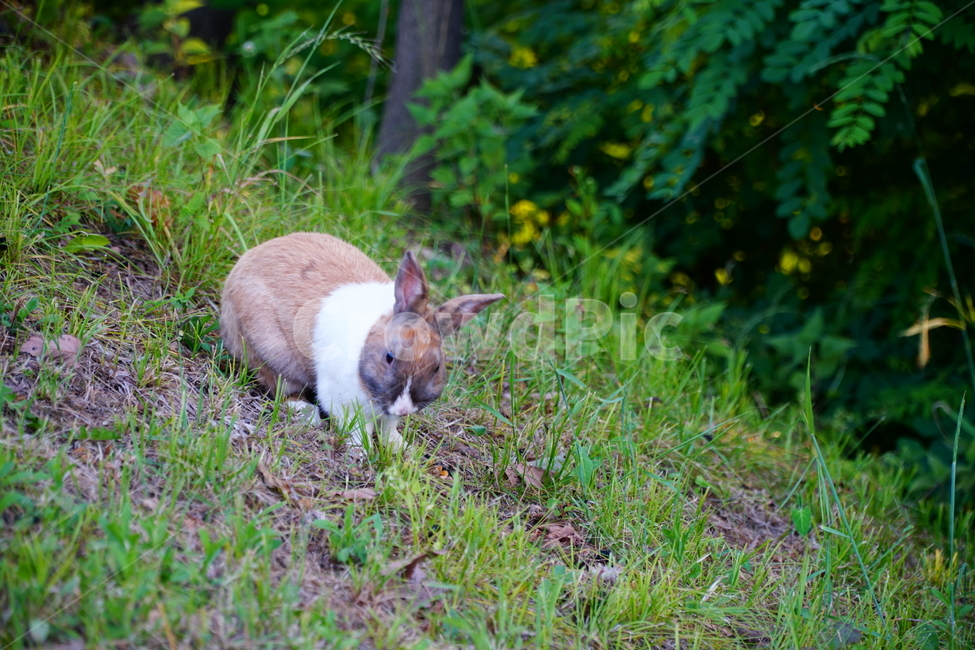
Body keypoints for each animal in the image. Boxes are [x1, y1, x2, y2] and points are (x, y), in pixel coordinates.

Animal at [220, 232, 504, 449]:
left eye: (436, 368)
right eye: (389, 357)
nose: (403, 409)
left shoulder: (387, 416)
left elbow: (389, 428)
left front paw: (401, 449)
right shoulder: (344, 402)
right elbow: (357, 429)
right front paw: (361, 450)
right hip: (270, 353)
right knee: (280, 387)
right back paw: (307, 413)